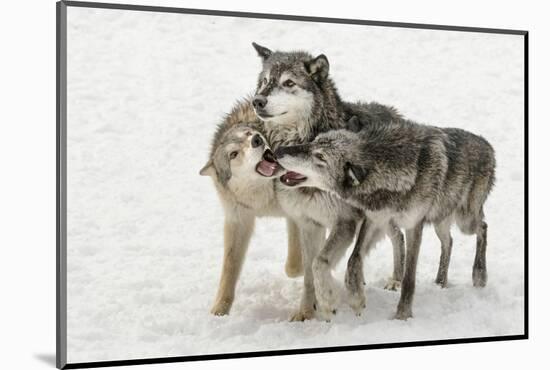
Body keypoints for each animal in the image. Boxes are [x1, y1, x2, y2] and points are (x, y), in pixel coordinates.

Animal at [278, 117, 498, 320]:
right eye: (314, 141)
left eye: (320, 157)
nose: (279, 151)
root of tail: (488, 145)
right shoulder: (374, 219)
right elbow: (354, 259)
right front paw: (356, 299)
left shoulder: (413, 226)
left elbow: (409, 278)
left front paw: (402, 315)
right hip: (437, 221)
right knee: (448, 241)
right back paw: (440, 281)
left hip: (465, 221)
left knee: (483, 227)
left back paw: (479, 275)